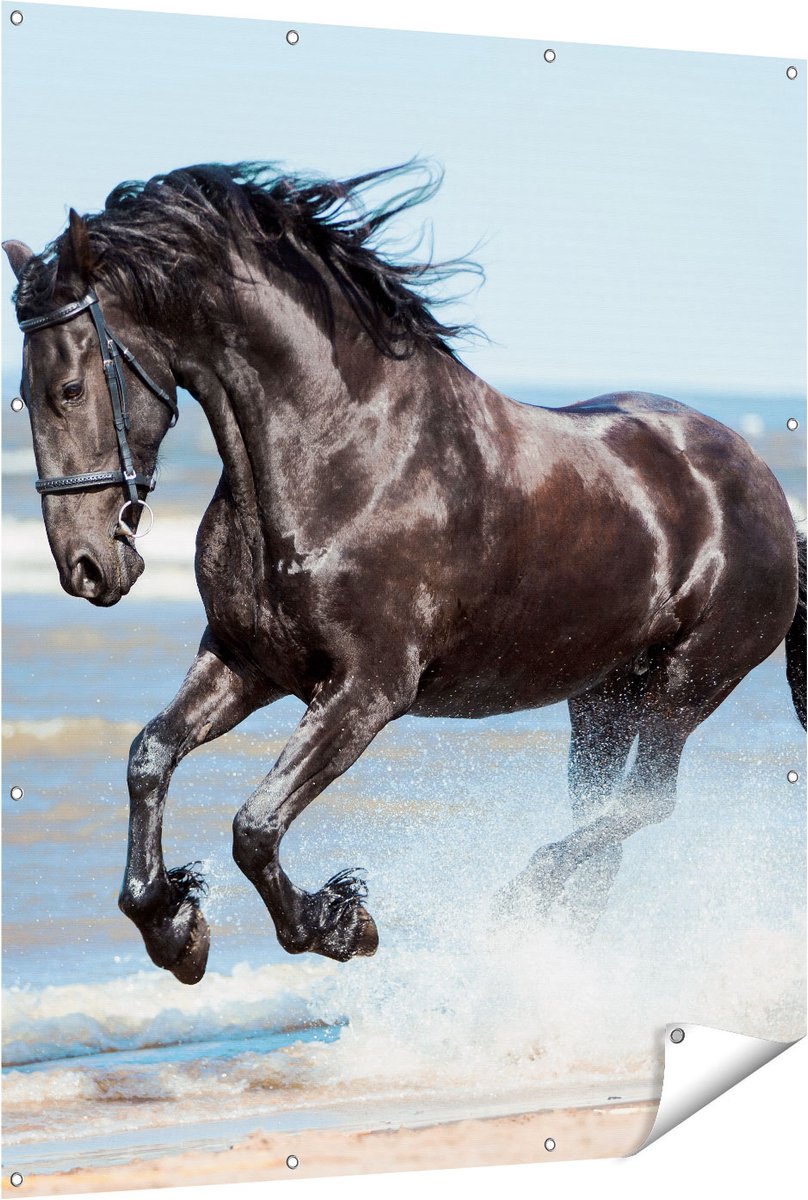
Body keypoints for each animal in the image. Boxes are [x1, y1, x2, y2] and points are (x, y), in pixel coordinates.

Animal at [4, 162, 805, 986]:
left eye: (69, 389)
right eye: (23, 395)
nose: (86, 567)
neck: (345, 455)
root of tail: (771, 495)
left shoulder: (368, 690)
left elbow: (255, 825)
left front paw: (339, 923)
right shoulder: (245, 661)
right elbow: (149, 757)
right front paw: (175, 928)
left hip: (687, 685)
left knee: (642, 807)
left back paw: (514, 904)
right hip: (603, 698)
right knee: (603, 822)